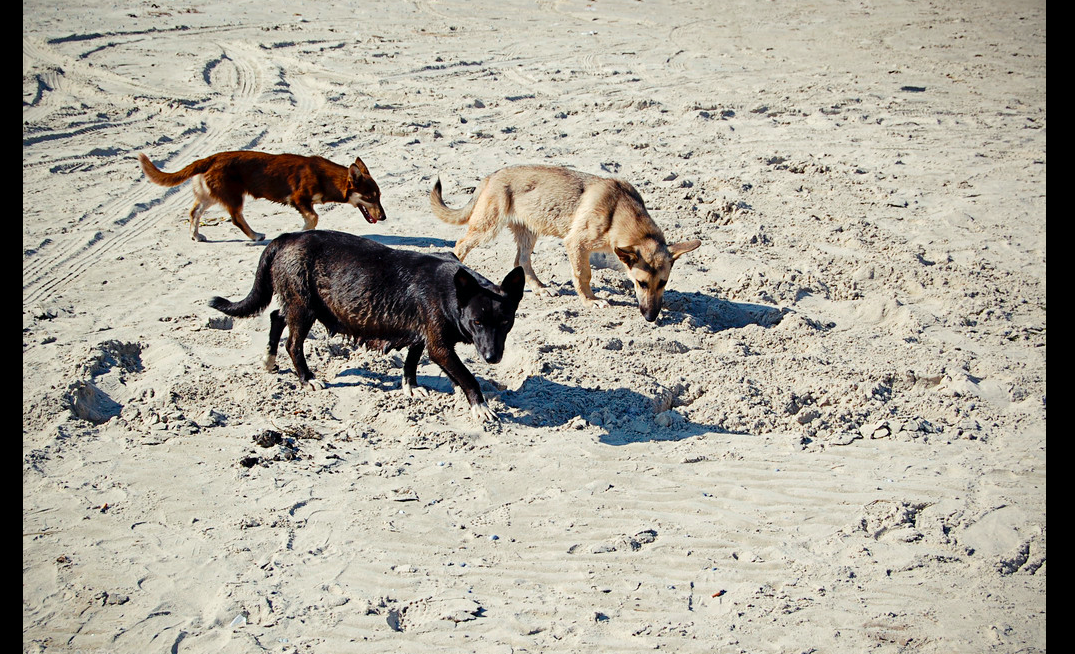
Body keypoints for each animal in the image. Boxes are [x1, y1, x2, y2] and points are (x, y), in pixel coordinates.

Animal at [136, 150, 384, 243]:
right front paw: (301, 232)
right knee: (236, 218)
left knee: (194, 212)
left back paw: (196, 235)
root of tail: (211, 158)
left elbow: (312, 218)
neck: (327, 178)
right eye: (370, 197)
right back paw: (254, 235)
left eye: (379, 196)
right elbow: (313, 219)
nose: (383, 217)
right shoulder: (298, 199)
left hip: (211, 195)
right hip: (234, 196)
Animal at [207, 230, 522, 423]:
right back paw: (307, 378)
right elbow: (468, 377)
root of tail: (286, 237)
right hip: (303, 308)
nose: (493, 358)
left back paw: (269, 360)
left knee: (276, 316)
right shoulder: (440, 347)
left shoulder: (421, 335)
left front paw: (411, 387)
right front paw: (480, 407)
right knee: (292, 343)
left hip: (304, 305)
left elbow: (411, 361)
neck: (452, 291)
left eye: (506, 322)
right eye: (477, 322)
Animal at [432, 164, 700, 320]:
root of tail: (490, 176)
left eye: (663, 282)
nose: (651, 317)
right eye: (641, 283)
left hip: (529, 231)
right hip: (486, 228)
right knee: (460, 246)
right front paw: (590, 301)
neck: (619, 211)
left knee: (521, 261)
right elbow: (583, 275)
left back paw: (540, 288)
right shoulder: (576, 244)